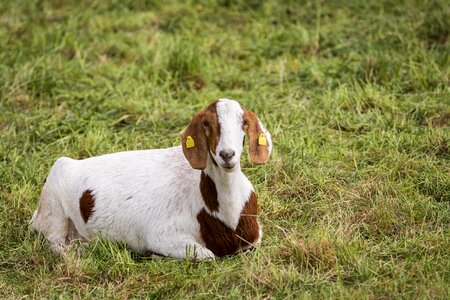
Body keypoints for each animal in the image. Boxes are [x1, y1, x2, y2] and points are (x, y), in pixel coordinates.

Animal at [31, 98, 272, 258]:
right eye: (206, 124)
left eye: (244, 123)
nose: (227, 155)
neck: (226, 216)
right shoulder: (161, 235)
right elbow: (206, 255)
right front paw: (155, 256)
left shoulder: (254, 235)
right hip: (53, 207)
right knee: (55, 245)